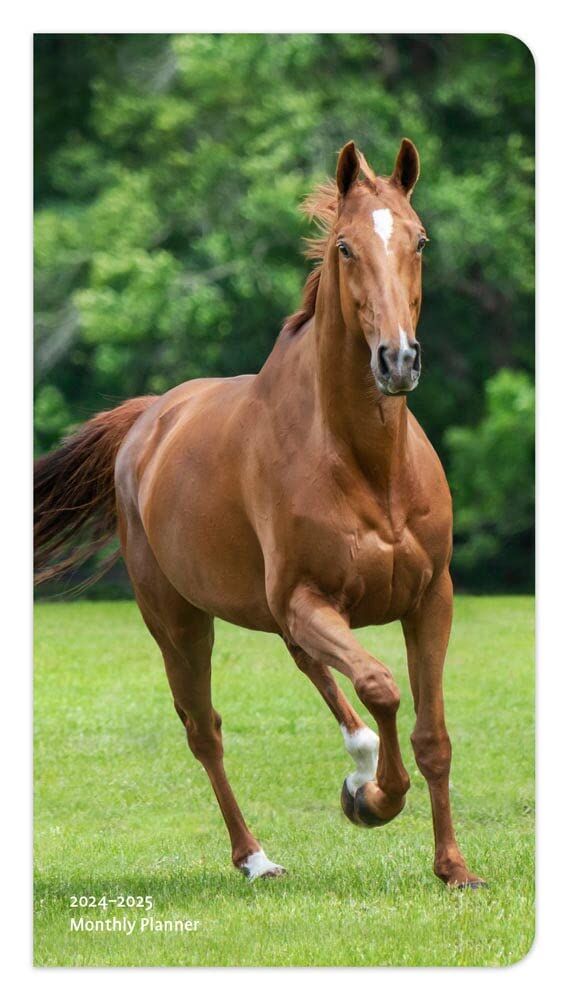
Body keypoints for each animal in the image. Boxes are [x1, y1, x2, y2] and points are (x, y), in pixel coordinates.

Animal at [34, 139, 485, 888]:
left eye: (419, 240)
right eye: (344, 247)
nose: (397, 360)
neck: (366, 464)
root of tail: (148, 419)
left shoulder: (430, 599)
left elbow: (432, 735)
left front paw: (452, 868)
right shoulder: (307, 600)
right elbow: (379, 685)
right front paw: (374, 800)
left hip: (277, 614)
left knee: (311, 674)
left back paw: (353, 770)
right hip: (181, 622)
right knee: (205, 729)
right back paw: (256, 856)